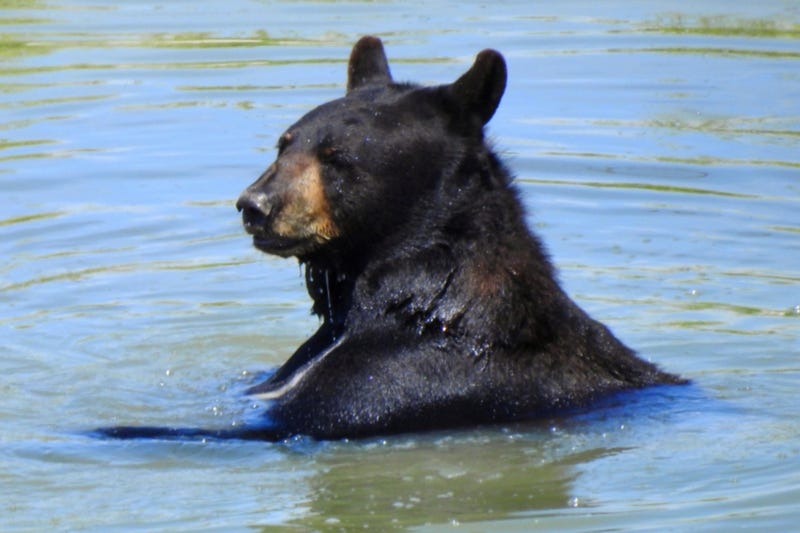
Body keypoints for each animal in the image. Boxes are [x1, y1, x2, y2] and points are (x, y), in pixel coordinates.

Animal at [99, 36, 685, 442]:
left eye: (337, 158)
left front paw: (115, 428)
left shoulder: (397, 381)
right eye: (284, 143)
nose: (254, 206)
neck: (418, 295)